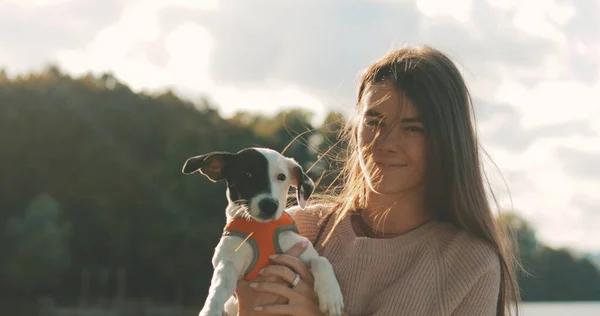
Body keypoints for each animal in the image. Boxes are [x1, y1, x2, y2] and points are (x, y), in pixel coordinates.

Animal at [182, 148, 342, 316]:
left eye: (281, 177)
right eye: (247, 174)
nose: (269, 205)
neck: (261, 227)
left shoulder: (302, 254)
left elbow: (321, 260)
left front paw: (331, 295)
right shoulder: (228, 265)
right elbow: (219, 285)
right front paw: (210, 309)